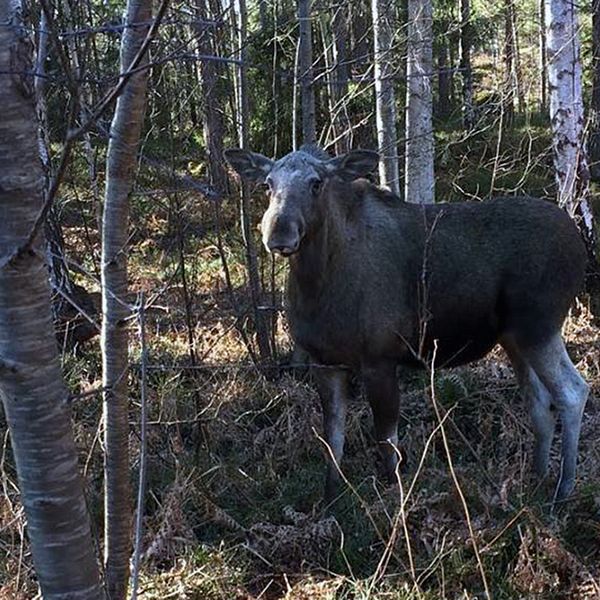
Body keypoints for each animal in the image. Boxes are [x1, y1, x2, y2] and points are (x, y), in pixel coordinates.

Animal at [226, 144, 592, 502]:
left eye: (317, 183)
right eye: (267, 184)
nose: (278, 232)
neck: (318, 285)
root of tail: (581, 246)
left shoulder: (380, 359)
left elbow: (388, 445)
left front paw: (395, 501)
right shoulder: (325, 362)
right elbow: (333, 441)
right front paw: (330, 503)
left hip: (539, 326)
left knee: (573, 391)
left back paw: (563, 490)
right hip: (514, 338)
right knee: (539, 404)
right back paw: (537, 478)